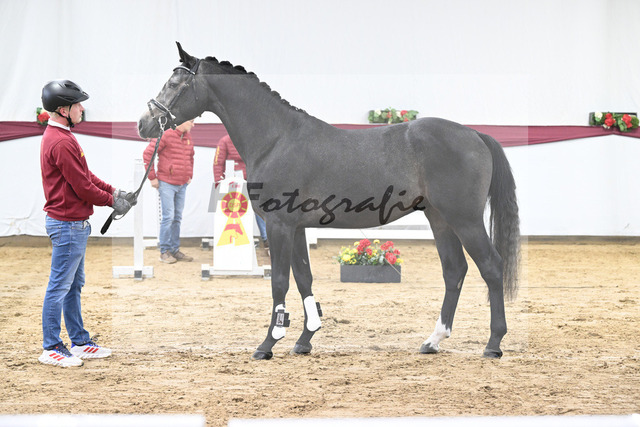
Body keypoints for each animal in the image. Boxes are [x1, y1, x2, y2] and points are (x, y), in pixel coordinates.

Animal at [138, 42, 520, 360]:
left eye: (174, 83)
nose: (144, 124)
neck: (276, 139)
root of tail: (475, 134)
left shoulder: (279, 224)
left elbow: (279, 281)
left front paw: (268, 343)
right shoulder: (296, 227)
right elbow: (304, 278)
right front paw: (305, 339)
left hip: (464, 219)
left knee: (490, 267)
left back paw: (493, 344)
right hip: (440, 219)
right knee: (454, 270)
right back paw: (433, 341)